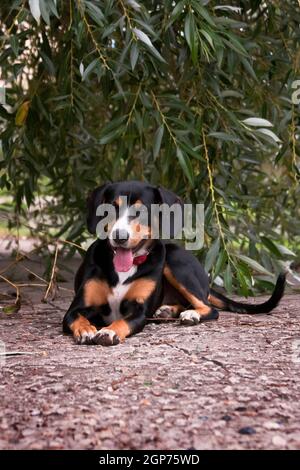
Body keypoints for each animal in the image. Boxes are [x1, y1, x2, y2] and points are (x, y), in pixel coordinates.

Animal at [63, 180, 286, 346]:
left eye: (141, 212)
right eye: (111, 209)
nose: (119, 237)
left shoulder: (139, 312)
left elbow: (121, 321)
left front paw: (109, 332)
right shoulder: (75, 309)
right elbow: (77, 318)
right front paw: (86, 329)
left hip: (175, 262)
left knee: (208, 307)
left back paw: (191, 315)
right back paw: (168, 310)